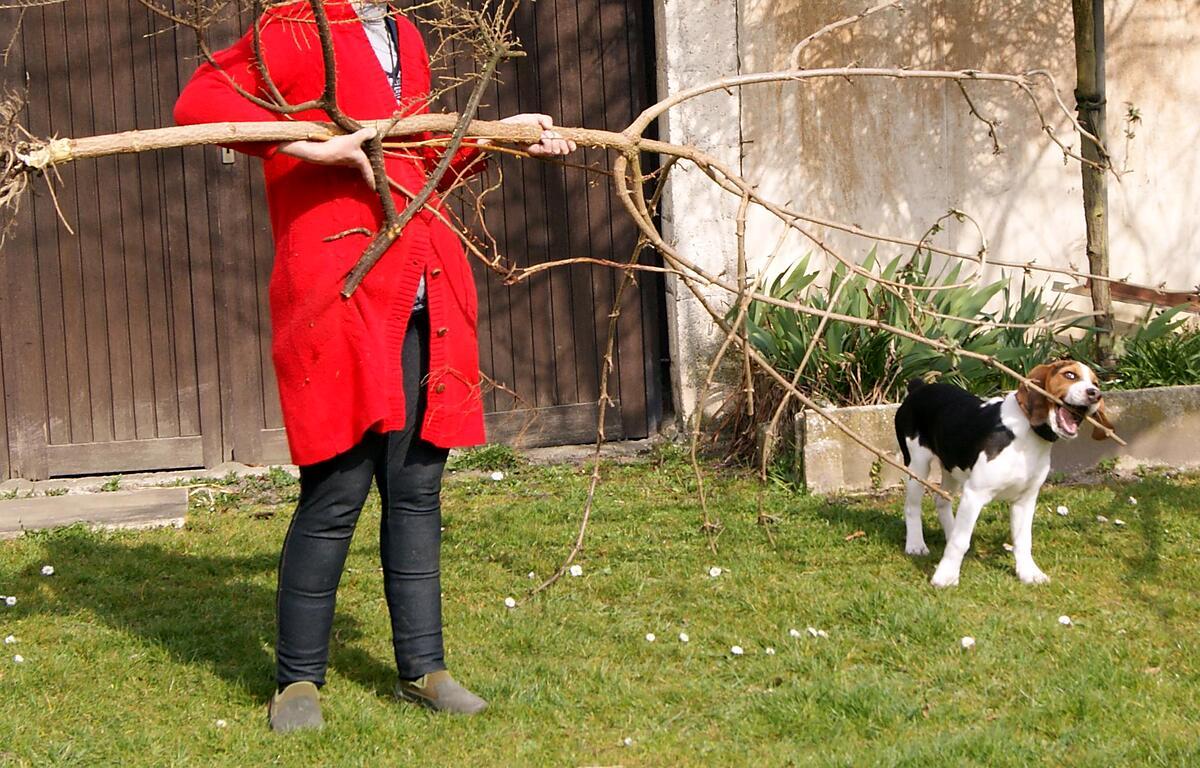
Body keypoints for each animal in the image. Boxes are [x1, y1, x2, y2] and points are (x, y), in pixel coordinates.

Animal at [897, 360, 1108, 588]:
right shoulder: (974, 495)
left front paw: (1029, 573)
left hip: (951, 466)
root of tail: (919, 387)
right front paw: (946, 576)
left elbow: (1023, 540)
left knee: (941, 501)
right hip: (918, 465)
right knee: (912, 507)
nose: (1095, 394)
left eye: (1096, 383)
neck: (1028, 435)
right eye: (1069, 375)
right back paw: (916, 545)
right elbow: (959, 542)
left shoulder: (1025, 500)